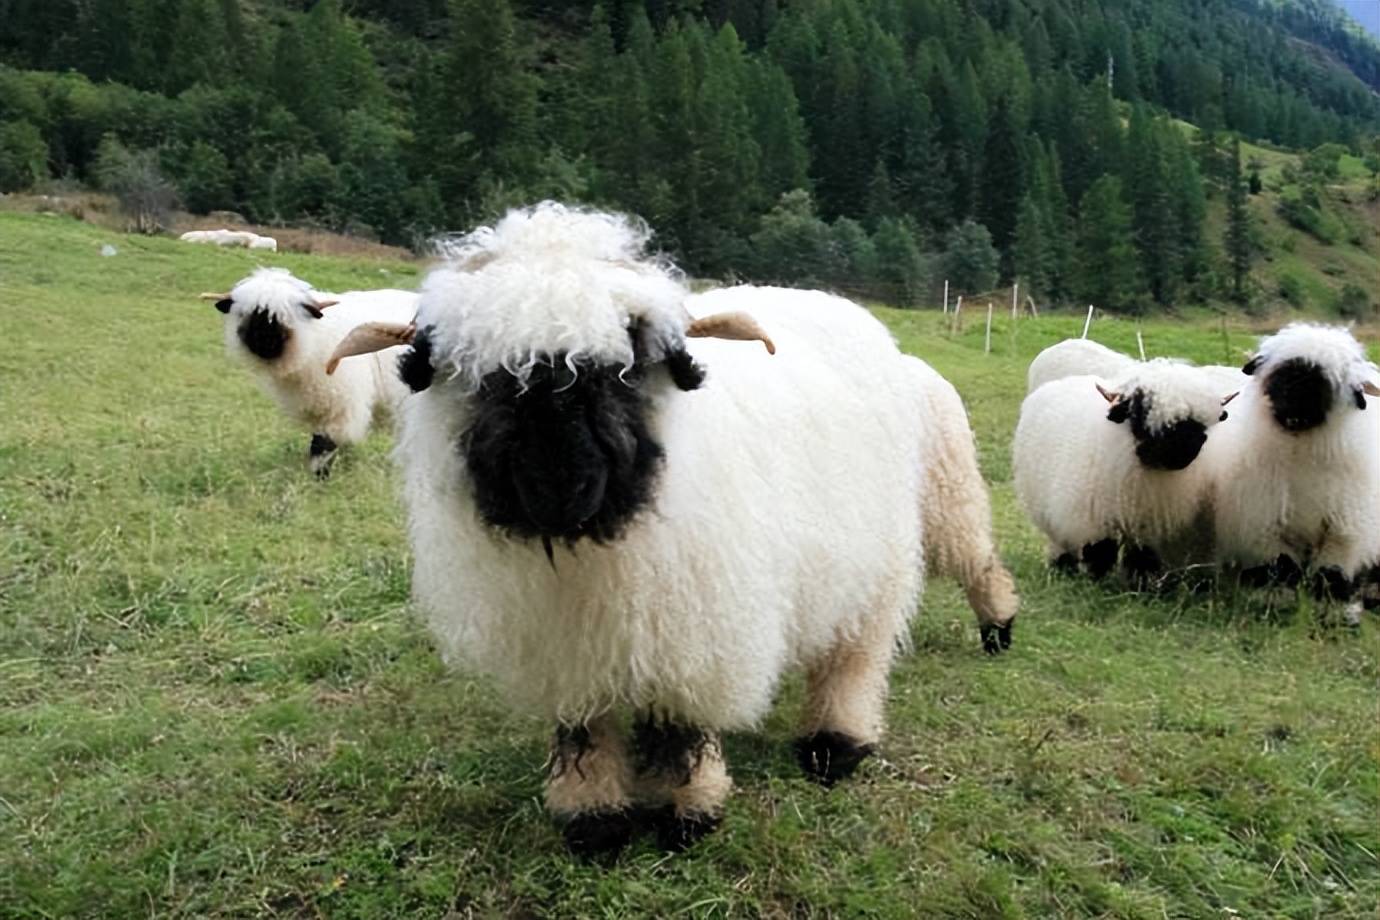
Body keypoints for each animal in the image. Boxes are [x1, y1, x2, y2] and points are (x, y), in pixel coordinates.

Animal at [198, 266, 414, 480]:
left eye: (285, 317)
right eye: (247, 314)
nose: (263, 342)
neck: (314, 339)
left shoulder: (340, 405)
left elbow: (322, 446)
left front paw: (320, 478)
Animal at [325, 205, 927, 860]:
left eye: (628, 365)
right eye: (481, 374)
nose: (559, 485)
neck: (593, 547)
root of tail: (828, 299)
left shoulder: (696, 631)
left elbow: (681, 727)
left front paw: (687, 811)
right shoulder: (568, 646)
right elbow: (585, 728)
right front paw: (594, 819)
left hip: (880, 559)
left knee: (857, 654)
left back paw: (835, 744)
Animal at [1015, 358, 1230, 582]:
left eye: (1201, 424)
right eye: (1141, 411)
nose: (1183, 451)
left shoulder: (1147, 522)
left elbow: (1142, 556)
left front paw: (1140, 583)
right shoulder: (1094, 519)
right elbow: (1100, 552)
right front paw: (1095, 582)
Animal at [1197, 324, 1380, 612]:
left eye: (1324, 382)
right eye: (1281, 374)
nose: (1294, 404)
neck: (1301, 450)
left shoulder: (1343, 531)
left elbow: (1330, 574)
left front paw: (1333, 611)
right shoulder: (1265, 522)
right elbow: (1281, 567)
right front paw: (1275, 602)